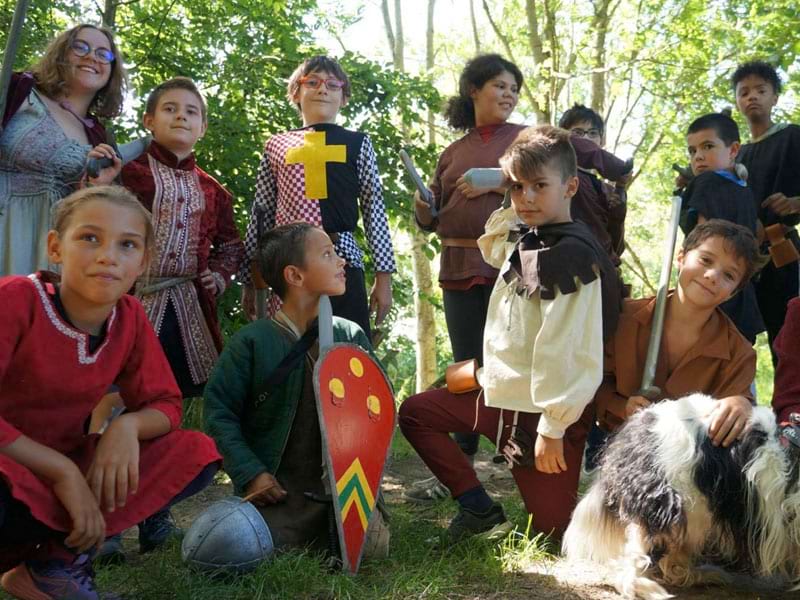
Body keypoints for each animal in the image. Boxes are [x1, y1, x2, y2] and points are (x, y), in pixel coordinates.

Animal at [564, 394, 800, 600]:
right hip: (666, 504)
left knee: (675, 553)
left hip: (693, 511)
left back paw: (698, 576)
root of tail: (640, 424)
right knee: (636, 555)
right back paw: (644, 587)